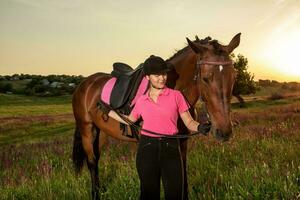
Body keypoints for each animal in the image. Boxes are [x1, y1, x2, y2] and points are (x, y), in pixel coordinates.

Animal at [71, 33, 240, 199]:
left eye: (233, 77)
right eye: (205, 78)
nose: (224, 132)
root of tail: (85, 84)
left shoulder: (182, 141)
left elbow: (182, 176)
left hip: (100, 132)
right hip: (86, 129)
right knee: (92, 161)